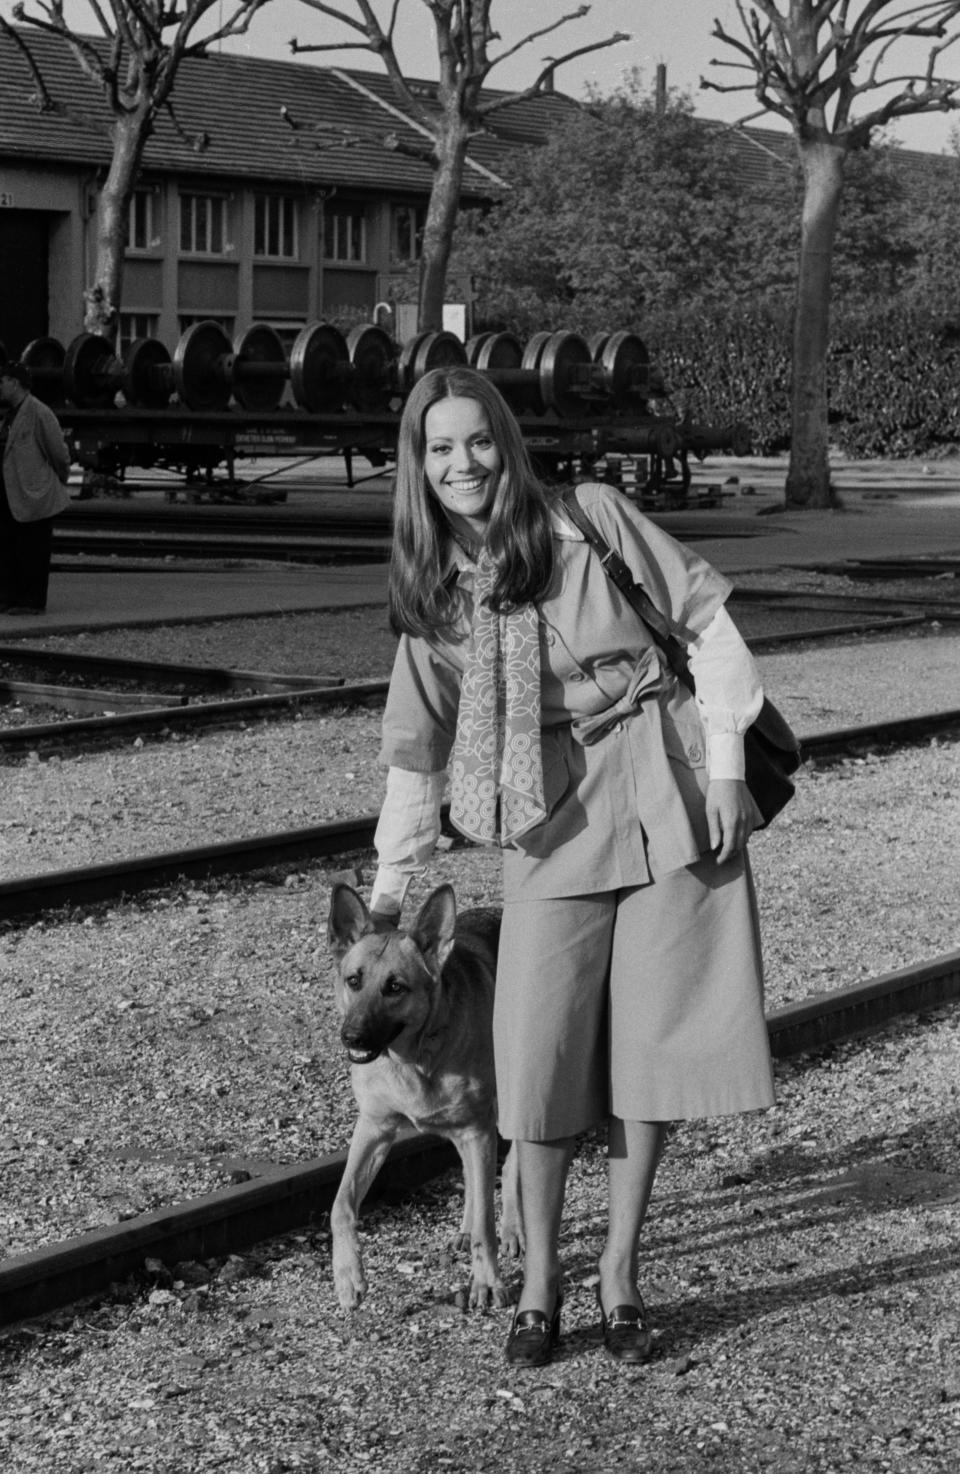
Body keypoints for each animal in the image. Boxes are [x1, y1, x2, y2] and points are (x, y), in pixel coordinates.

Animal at [327, 884, 522, 1314]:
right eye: (353, 980)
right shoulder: (374, 1129)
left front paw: (486, 1282)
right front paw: (348, 1276)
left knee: (514, 1164)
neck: (412, 1058)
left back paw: (513, 1228)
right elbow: (341, 1204)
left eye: (395, 987)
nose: (352, 1037)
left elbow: (486, 1222)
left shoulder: (478, 1130)